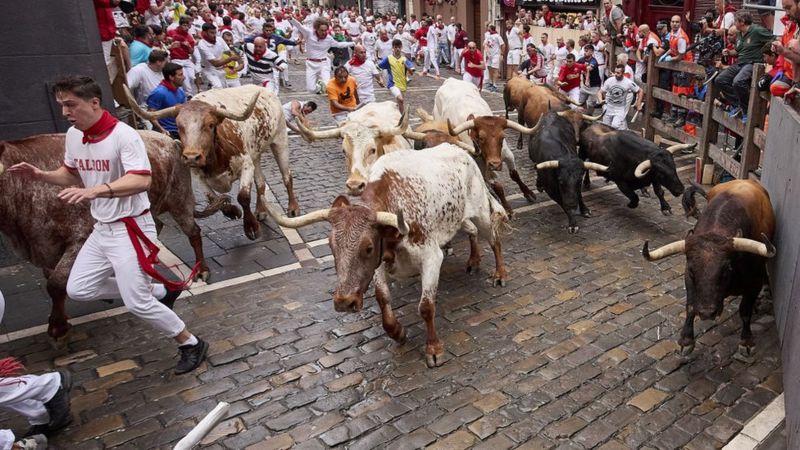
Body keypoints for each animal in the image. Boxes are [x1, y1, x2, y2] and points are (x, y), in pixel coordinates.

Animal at [0, 130, 216, 344]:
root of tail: (169, 139)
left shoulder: (80, 238)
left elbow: (55, 283)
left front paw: (58, 326)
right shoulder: (46, 248)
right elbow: (53, 279)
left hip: (180, 199)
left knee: (193, 232)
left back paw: (202, 270)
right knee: (158, 226)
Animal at [125, 83, 300, 239]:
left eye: (210, 124)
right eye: (179, 126)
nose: (191, 156)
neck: (216, 158)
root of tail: (266, 91)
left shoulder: (246, 165)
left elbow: (243, 196)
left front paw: (251, 227)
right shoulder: (197, 175)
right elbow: (213, 198)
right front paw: (232, 211)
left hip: (280, 141)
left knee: (287, 176)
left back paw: (293, 208)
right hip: (255, 154)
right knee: (261, 182)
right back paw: (261, 210)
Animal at [266, 146, 510, 368]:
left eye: (368, 247)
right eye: (331, 245)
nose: (344, 302)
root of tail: (463, 152)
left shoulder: (431, 258)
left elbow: (426, 306)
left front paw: (433, 349)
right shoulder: (379, 265)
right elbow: (383, 299)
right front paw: (398, 332)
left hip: (481, 212)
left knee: (494, 239)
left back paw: (499, 274)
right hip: (458, 218)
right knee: (472, 231)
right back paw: (473, 260)